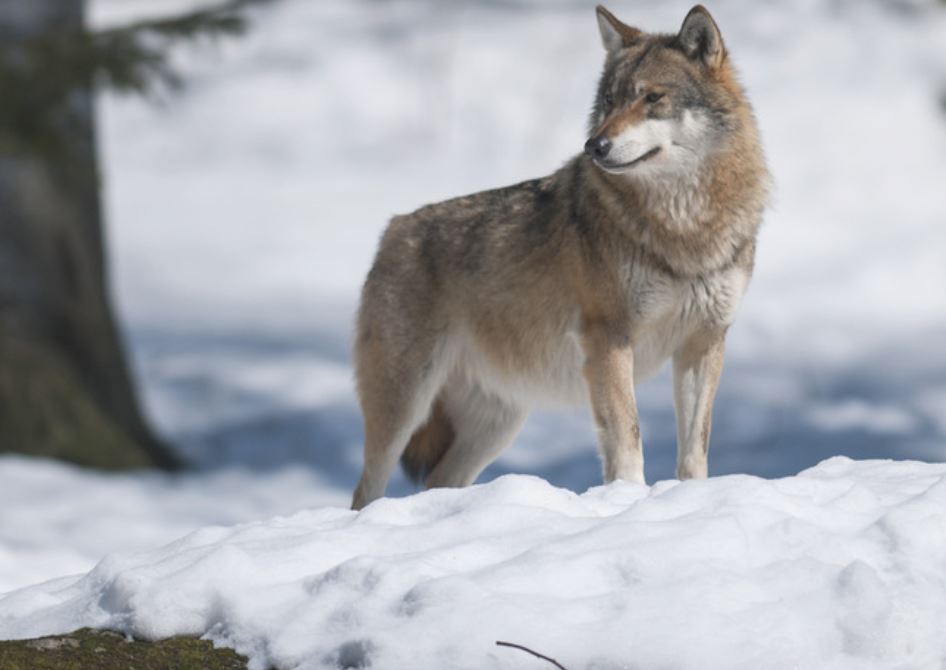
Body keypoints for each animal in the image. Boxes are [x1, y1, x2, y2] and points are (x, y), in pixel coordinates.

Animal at [346, 5, 768, 512]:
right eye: (609, 100)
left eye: (652, 98)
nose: (595, 146)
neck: (682, 227)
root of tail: (393, 229)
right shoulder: (608, 339)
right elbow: (628, 438)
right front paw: (627, 501)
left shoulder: (704, 341)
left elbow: (694, 451)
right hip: (404, 407)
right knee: (366, 490)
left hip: (498, 423)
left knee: (437, 481)